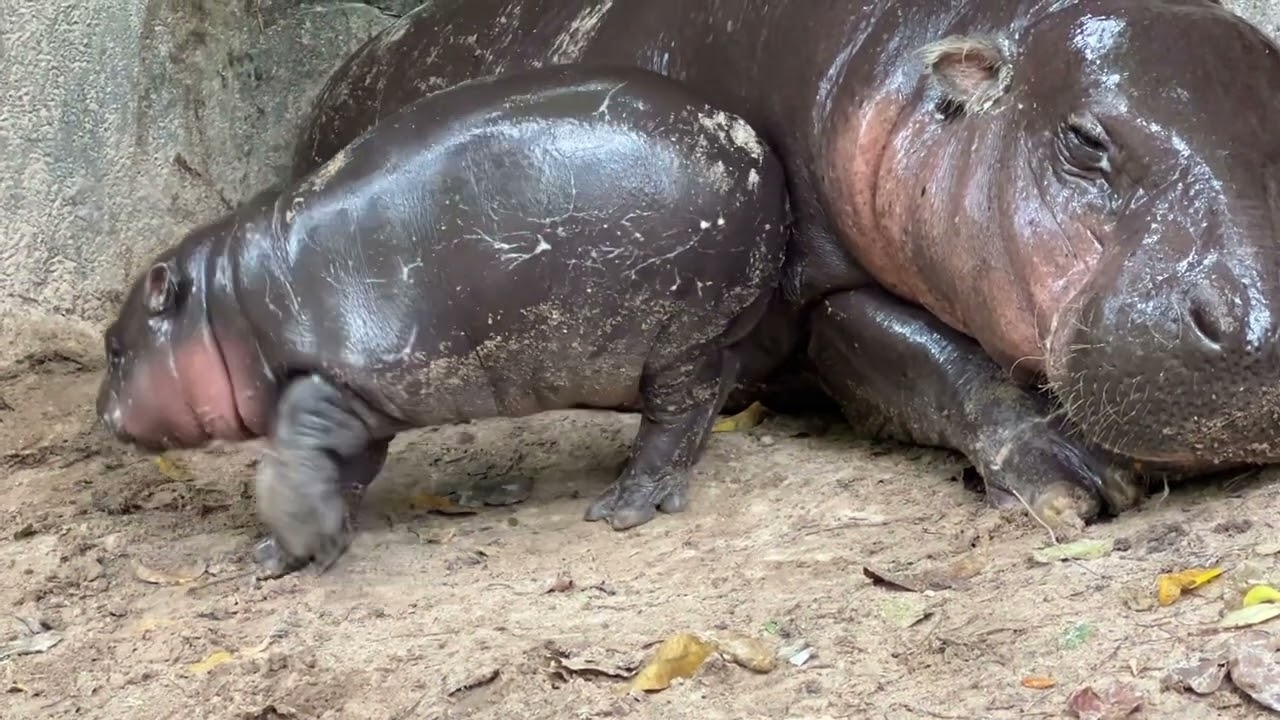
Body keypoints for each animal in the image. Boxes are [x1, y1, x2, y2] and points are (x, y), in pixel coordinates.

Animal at [97, 64, 792, 576]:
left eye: (113, 348)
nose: (100, 410)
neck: (226, 305)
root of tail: (759, 149)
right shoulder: (359, 406)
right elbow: (338, 472)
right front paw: (319, 538)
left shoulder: (327, 383)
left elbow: (297, 462)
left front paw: (273, 555)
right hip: (707, 338)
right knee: (710, 398)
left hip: (679, 338)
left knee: (677, 417)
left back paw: (623, 506)